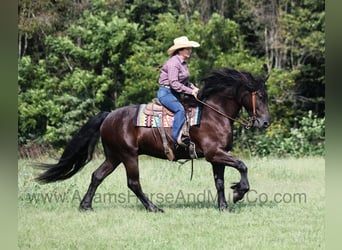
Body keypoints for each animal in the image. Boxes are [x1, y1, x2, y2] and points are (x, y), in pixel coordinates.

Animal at [35, 67, 270, 212]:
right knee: (133, 183)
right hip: (129, 156)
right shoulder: (215, 153)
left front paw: (223, 206)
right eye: (259, 95)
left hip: (114, 156)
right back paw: (153, 207)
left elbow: (219, 182)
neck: (213, 115)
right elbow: (242, 165)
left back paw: (86, 205)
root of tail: (109, 116)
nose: (265, 122)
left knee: (97, 176)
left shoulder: (216, 156)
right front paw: (239, 192)